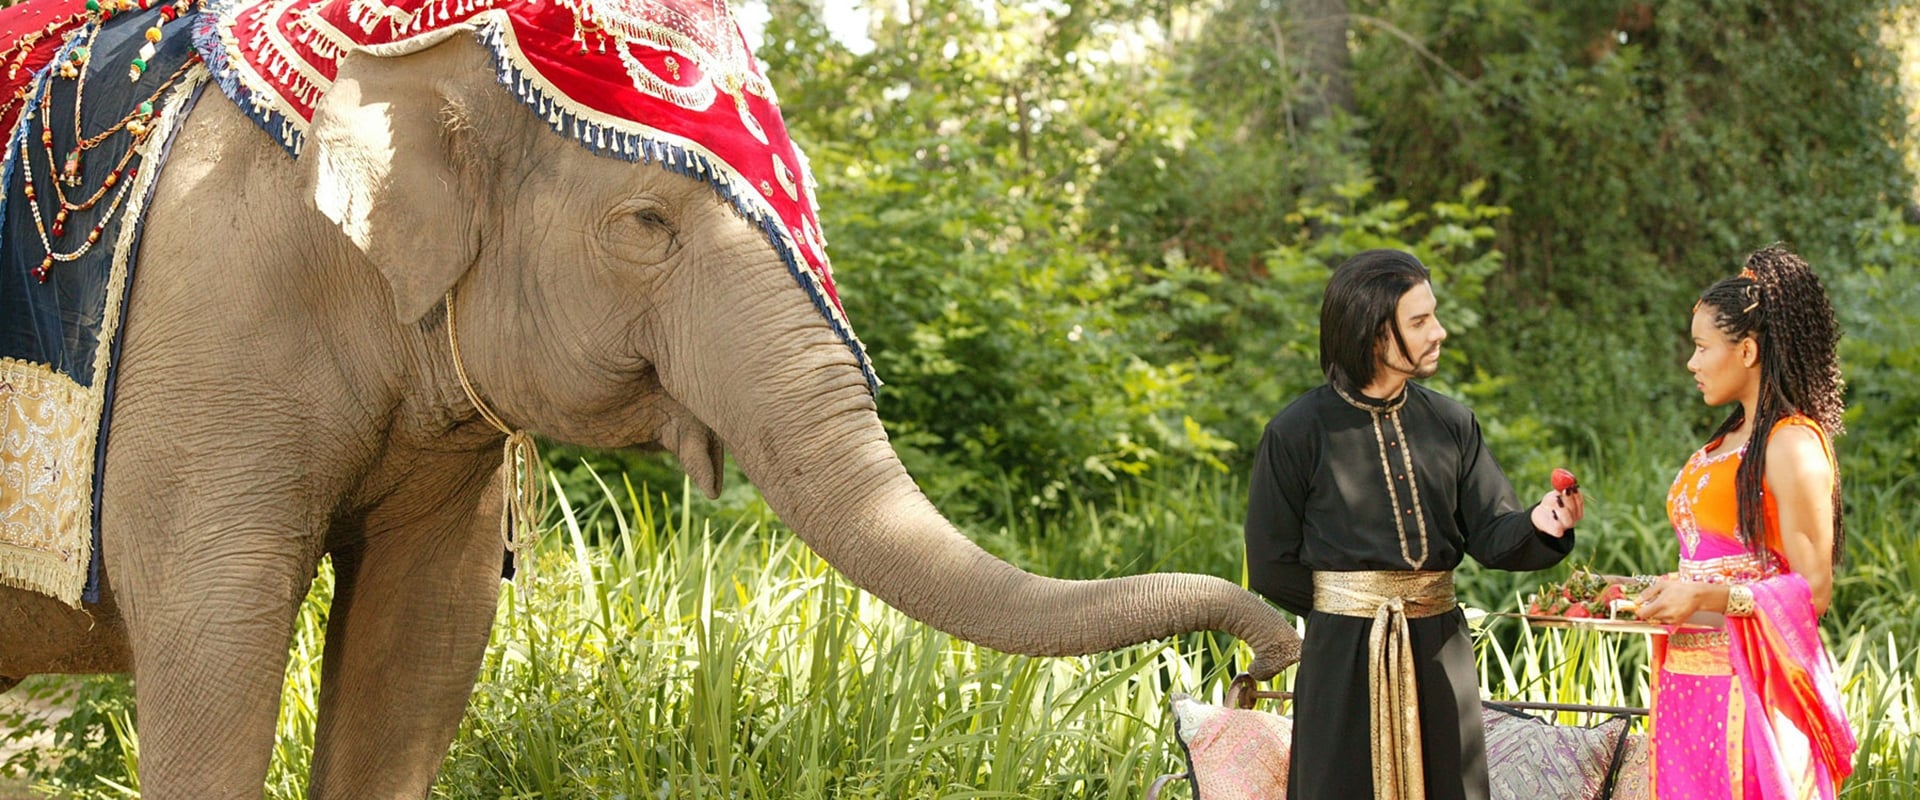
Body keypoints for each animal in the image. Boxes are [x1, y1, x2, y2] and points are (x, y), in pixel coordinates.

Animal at [0, 0, 1300, 796]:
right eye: (645, 223)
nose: (1264, 658)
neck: (403, 49)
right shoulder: (208, 328)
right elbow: (217, 633)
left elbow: (423, 634)